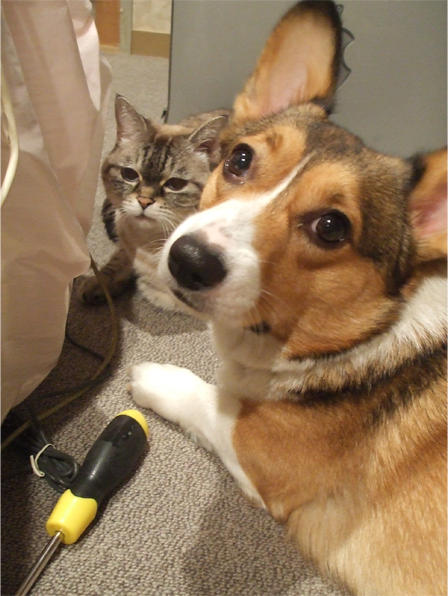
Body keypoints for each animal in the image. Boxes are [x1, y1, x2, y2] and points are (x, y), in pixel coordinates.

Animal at [78, 95, 230, 309]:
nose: (144, 201)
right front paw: (97, 284)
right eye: (129, 174)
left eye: (176, 184)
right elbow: (116, 262)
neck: (149, 240)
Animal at [128, 2, 447, 594]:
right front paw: (152, 276)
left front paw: (155, 376)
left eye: (331, 227)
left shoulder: (260, 450)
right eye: (239, 159)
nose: (189, 260)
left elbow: (210, 399)